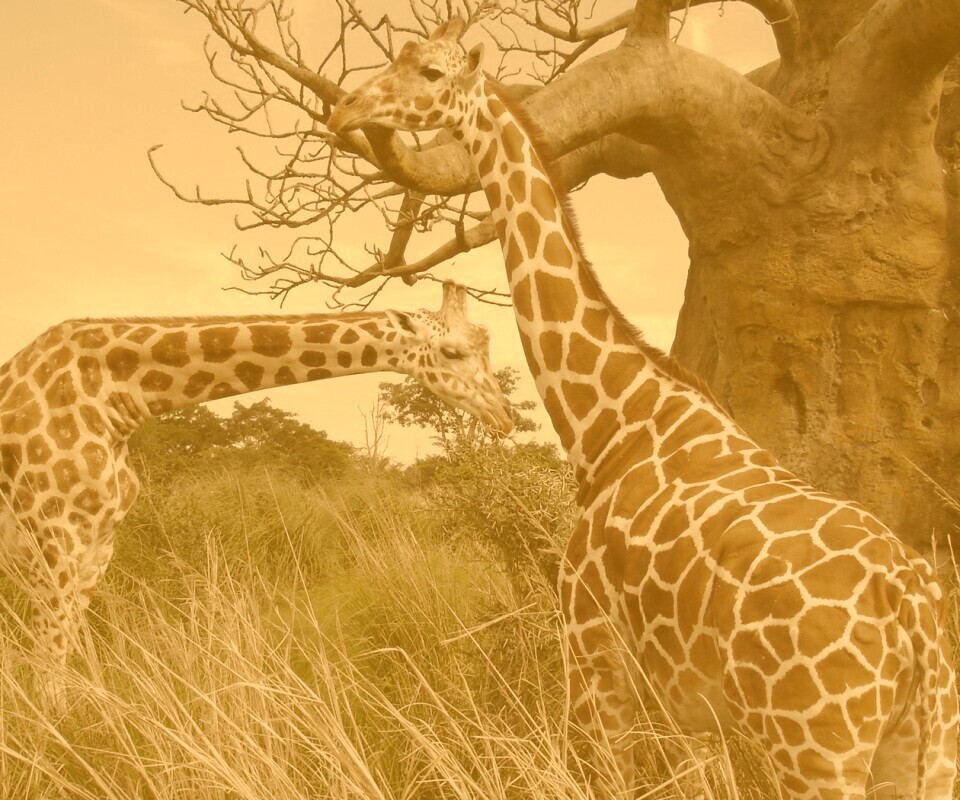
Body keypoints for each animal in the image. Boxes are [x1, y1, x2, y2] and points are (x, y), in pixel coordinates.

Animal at [0, 281, 512, 705]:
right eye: (452, 351)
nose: (505, 416)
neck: (112, 397)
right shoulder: (55, 538)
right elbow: (46, 673)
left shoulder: (98, 542)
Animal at [328, 20, 960, 800]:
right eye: (400, 57)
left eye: (431, 72)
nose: (345, 109)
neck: (609, 419)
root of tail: (914, 613)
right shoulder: (688, 706)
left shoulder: (593, 651)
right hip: (924, 743)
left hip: (818, 748)